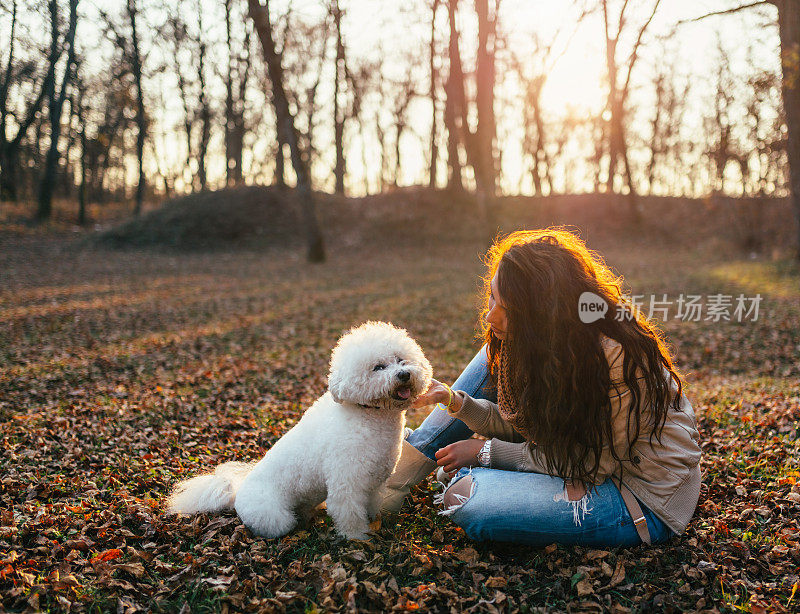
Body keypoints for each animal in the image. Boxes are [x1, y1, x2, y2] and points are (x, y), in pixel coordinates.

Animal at [166, 322, 434, 540]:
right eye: (378, 367)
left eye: (401, 359)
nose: (404, 374)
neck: (367, 412)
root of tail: (236, 493)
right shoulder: (347, 482)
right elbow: (350, 514)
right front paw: (359, 538)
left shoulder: (375, 481)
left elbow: (373, 505)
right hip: (276, 518)